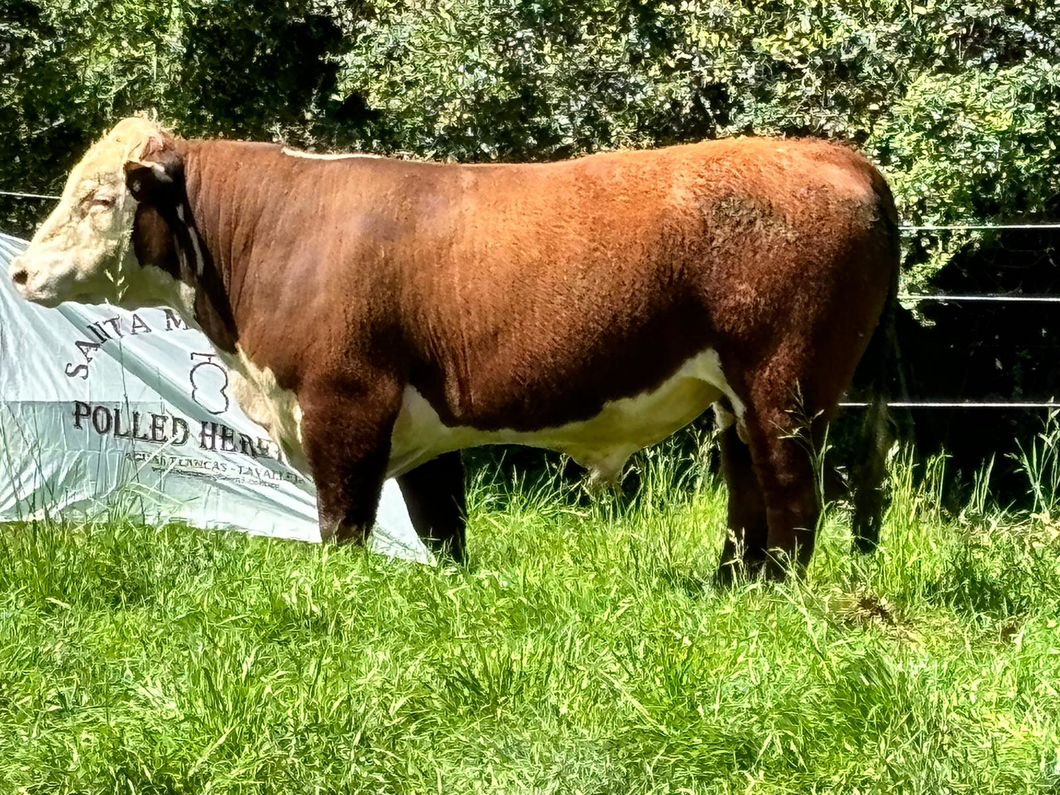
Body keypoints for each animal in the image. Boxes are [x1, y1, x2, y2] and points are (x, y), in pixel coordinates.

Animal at [10, 116, 903, 580]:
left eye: (99, 199)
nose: (18, 271)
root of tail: (830, 151)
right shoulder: (419, 426)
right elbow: (441, 525)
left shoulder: (345, 403)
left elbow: (344, 519)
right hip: (733, 396)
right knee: (747, 490)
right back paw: (728, 585)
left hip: (785, 384)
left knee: (791, 495)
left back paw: (773, 592)